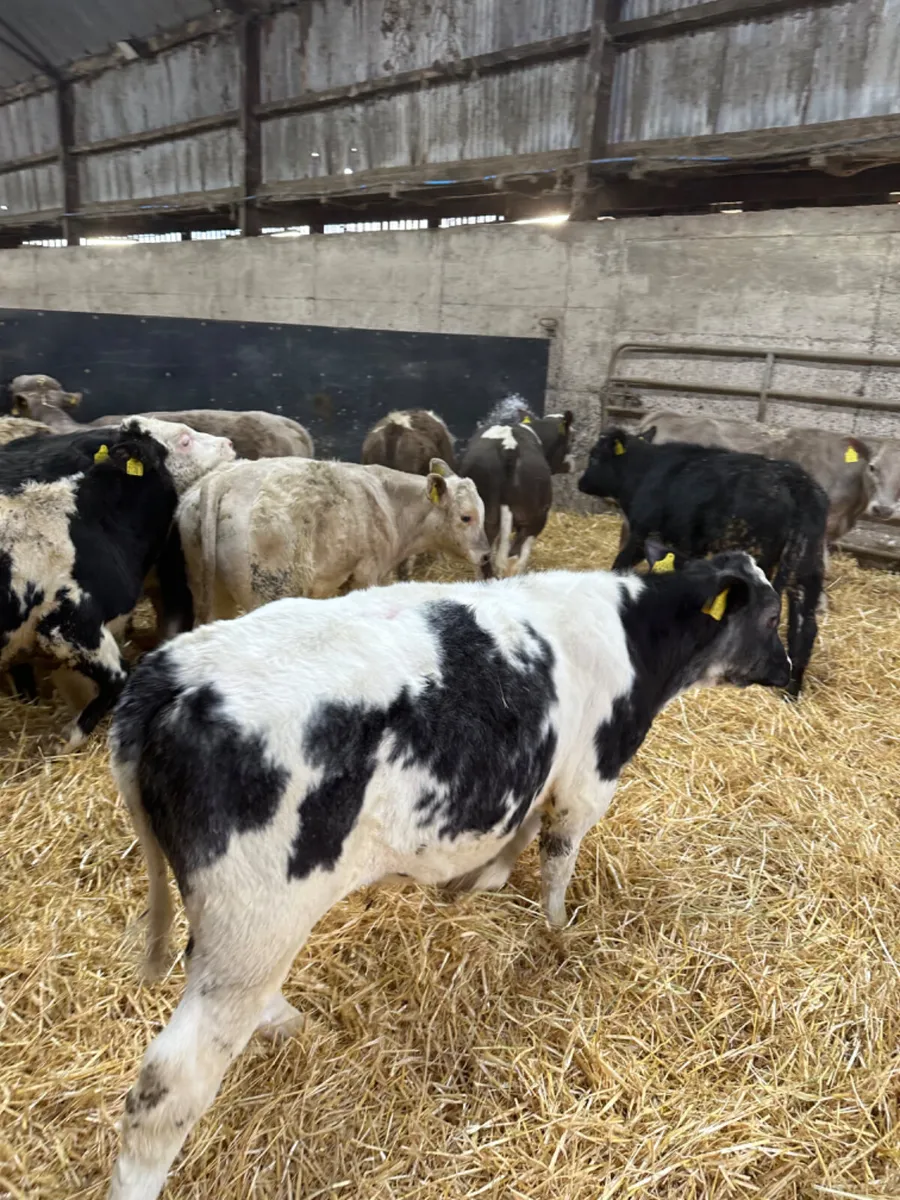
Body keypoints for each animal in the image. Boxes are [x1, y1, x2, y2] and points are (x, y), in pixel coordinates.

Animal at [107, 548, 790, 1200]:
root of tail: (174, 671)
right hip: (257, 917)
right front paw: (556, 928)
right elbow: (558, 855)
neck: (636, 631)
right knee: (167, 1088)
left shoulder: (539, 771)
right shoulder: (588, 779)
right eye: (773, 617)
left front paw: (480, 883)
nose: (789, 673)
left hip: (239, 929)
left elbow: (518, 833)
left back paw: (285, 1021)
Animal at [177, 457, 491, 626]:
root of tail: (223, 480)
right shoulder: (366, 574)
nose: (486, 555)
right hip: (270, 589)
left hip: (212, 591)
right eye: (466, 517)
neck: (390, 503)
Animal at [461, 399, 574, 577]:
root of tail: (508, 448)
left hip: (485, 516)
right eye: (572, 439)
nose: (572, 465)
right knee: (513, 557)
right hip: (536, 516)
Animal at [578, 428, 829, 699]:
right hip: (806, 570)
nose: (580, 482)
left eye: (594, 457)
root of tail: (797, 486)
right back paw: (791, 692)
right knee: (805, 627)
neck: (644, 471)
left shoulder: (642, 534)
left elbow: (620, 563)